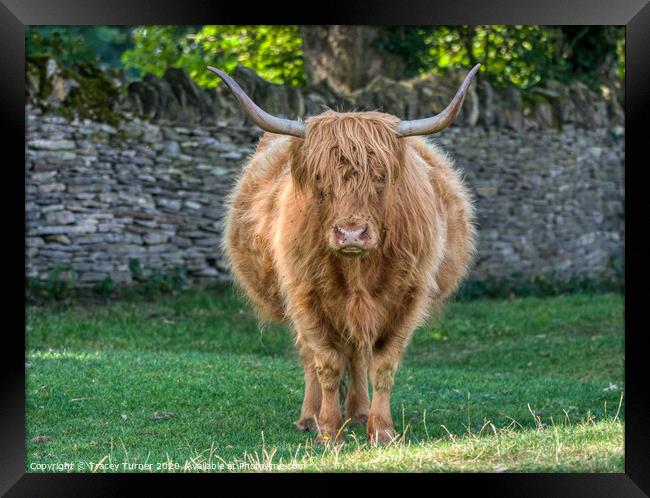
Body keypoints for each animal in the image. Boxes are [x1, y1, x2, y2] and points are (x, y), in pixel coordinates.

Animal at [210, 65, 478, 444]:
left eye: (380, 177)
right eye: (320, 177)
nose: (351, 233)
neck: (357, 272)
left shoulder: (408, 297)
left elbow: (383, 364)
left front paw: (381, 429)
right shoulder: (305, 296)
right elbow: (326, 363)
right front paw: (329, 430)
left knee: (357, 353)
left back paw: (359, 411)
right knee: (312, 356)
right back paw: (311, 416)